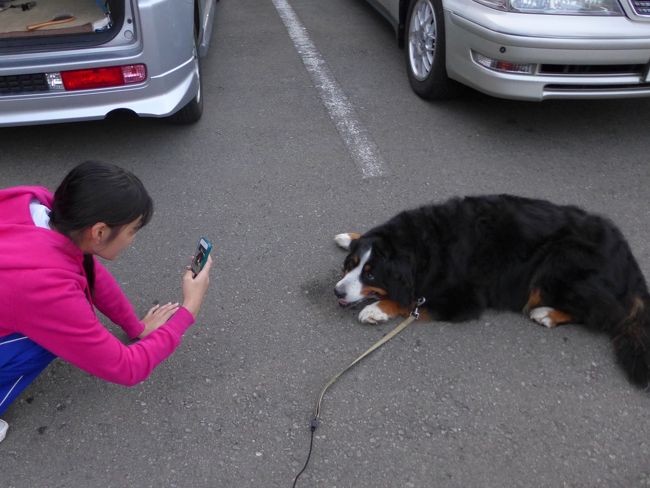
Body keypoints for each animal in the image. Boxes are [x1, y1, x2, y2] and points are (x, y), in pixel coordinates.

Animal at [334, 194, 648, 388]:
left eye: (370, 273)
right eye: (351, 265)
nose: (338, 291)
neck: (423, 246)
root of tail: (628, 258)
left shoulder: (462, 298)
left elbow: (408, 301)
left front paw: (376, 310)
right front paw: (349, 236)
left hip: (561, 260)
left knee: (606, 314)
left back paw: (547, 314)